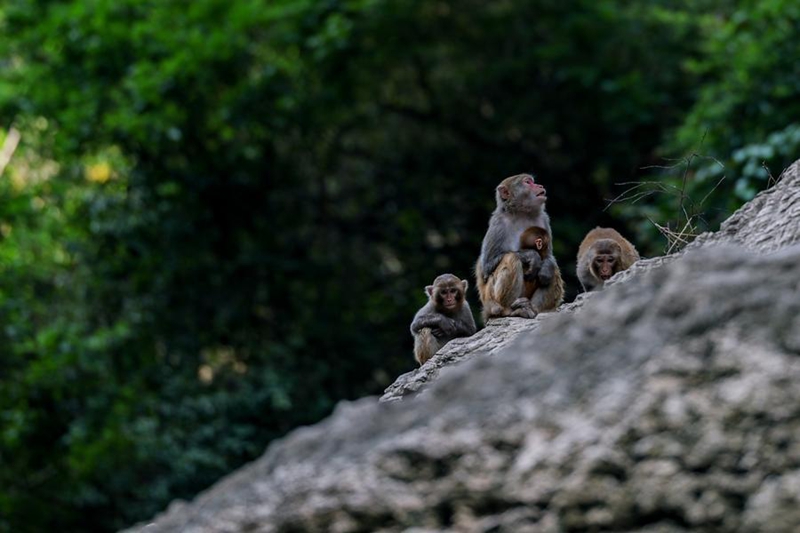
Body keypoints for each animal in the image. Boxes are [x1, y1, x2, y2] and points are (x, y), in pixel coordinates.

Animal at [475, 174, 565, 323]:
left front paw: (546, 267)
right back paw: (510, 311)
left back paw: (535, 309)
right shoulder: (498, 224)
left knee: (553, 269)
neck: (522, 213)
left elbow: (548, 257)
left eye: (533, 181)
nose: (540, 185)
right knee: (511, 257)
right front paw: (531, 255)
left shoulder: (544, 219)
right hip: (491, 299)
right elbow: (487, 266)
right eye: (527, 182)